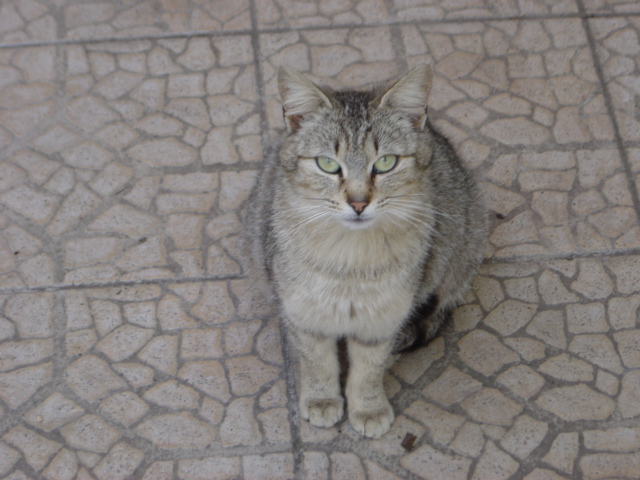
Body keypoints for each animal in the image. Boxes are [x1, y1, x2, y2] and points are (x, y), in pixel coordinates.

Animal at [248, 64, 488, 438]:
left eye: (386, 162)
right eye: (328, 164)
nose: (359, 203)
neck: (351, 261)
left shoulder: (382, 319)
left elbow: (369, 369)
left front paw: (368, 407)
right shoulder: (303, 312)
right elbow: (317, 362)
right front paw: (321, 399)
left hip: (461, 254)